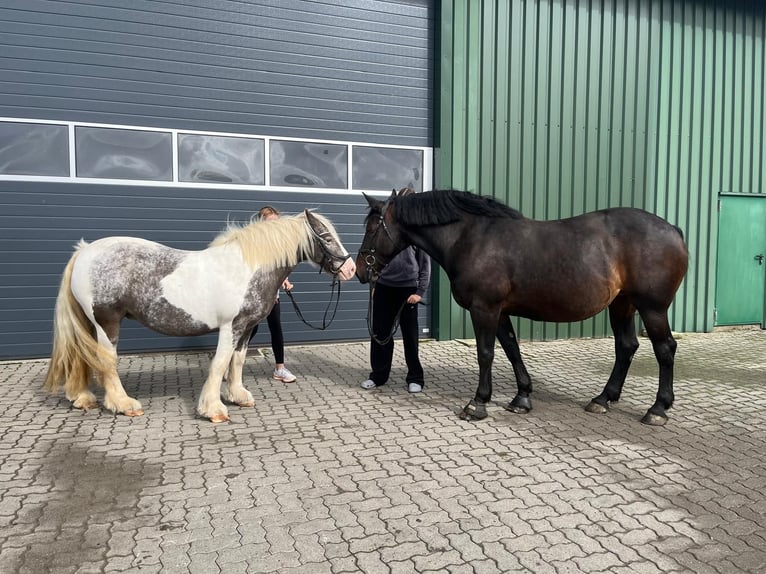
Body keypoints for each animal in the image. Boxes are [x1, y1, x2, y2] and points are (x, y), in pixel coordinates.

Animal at [44, 210, 356, 422]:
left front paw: (238, 396)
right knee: (106, 361)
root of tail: (85, 251)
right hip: (106, 322)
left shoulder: (246, 328)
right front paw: (213, 409)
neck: (247, 267)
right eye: (326, 237)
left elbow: (237, 362)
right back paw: (123, 404)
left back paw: (82, 398)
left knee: (81, 358)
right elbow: (219, 363)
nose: (351, 269)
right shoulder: (231, 326)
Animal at [356, 189, 688, 426]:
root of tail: (672, 229)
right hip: (622, 304)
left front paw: (477, 403)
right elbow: (512, 350)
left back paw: (657, 409)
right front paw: (522, 398)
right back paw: (603, 399)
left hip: (652, 308)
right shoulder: (500, 311)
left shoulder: (484, 308)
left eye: (372, 229)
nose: (360, 270)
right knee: (626, 346)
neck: (471, 238)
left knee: (664, 349)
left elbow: (486, 354)